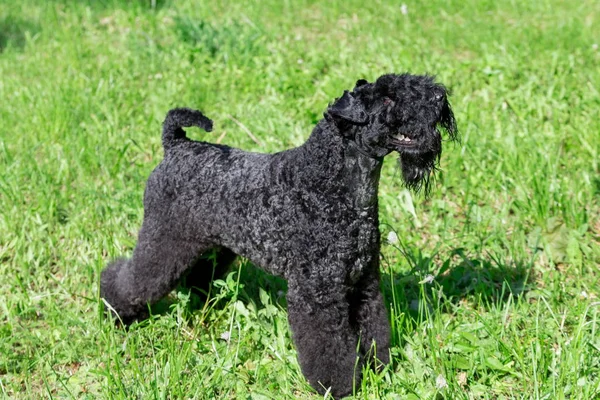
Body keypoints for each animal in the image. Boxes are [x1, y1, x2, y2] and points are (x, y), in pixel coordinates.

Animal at [101, 73, 458, 398]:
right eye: (386, 99)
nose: (439, 97)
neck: (334, 185)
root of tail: (175, 146)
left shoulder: (364, 283)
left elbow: (373, 329)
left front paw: (376, 368)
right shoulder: (317, 293)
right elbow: (328, 345)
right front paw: (339, 385)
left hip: (209, 245)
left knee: (198, 274)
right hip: (162, 240)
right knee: (129, 278)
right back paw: (116, 313)